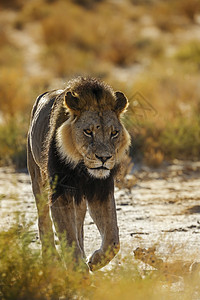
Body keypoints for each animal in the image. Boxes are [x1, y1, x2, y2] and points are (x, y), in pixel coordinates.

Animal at [27, 76, 131, 270]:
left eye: (114, 133)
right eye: (88, 131)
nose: (104, 158)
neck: (82, 169)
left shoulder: (101, 190)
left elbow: (113, 239)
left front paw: (94, 261)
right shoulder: (61, 192)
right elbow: (68, 236)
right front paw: (78, 271)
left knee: (79, 223)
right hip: (37, 178)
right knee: (43, 219)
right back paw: (50, 259)